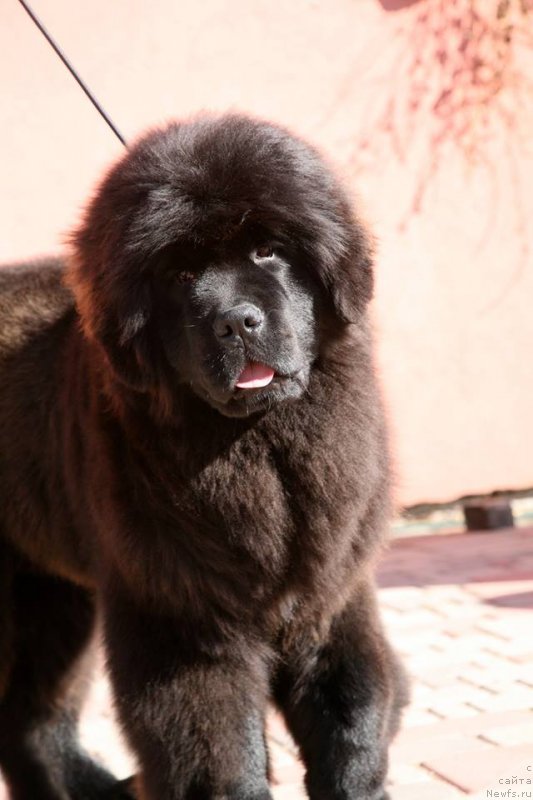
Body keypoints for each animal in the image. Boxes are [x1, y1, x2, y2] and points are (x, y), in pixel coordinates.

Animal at [0, 114, 406, 800]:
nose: (236, 321)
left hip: (48, 595)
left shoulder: (330, 595)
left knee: (31, 717)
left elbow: (354, 719)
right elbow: (216, 753)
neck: (258, 449)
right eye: (178, 275)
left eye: (268, 250)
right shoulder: (185, 624)